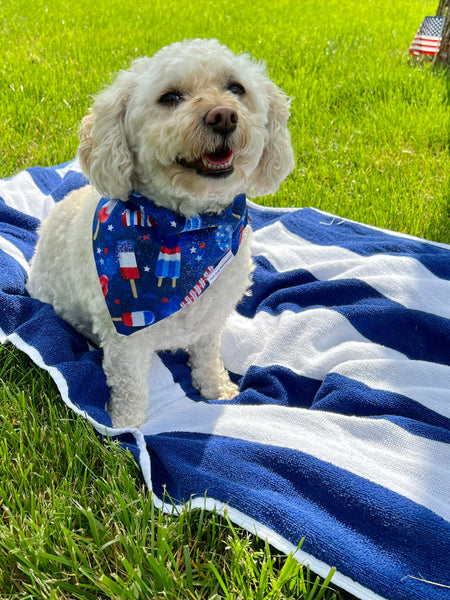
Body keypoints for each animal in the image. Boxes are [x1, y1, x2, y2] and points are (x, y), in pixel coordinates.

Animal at [28, 38, 296, 426]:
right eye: (169, 98)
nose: (223, 115)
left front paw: (216, 389)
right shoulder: (124, 339)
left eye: (236, 89)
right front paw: (126, 425)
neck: (187, 229)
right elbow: (131, 385)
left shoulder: (211, 323)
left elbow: (207, 356)